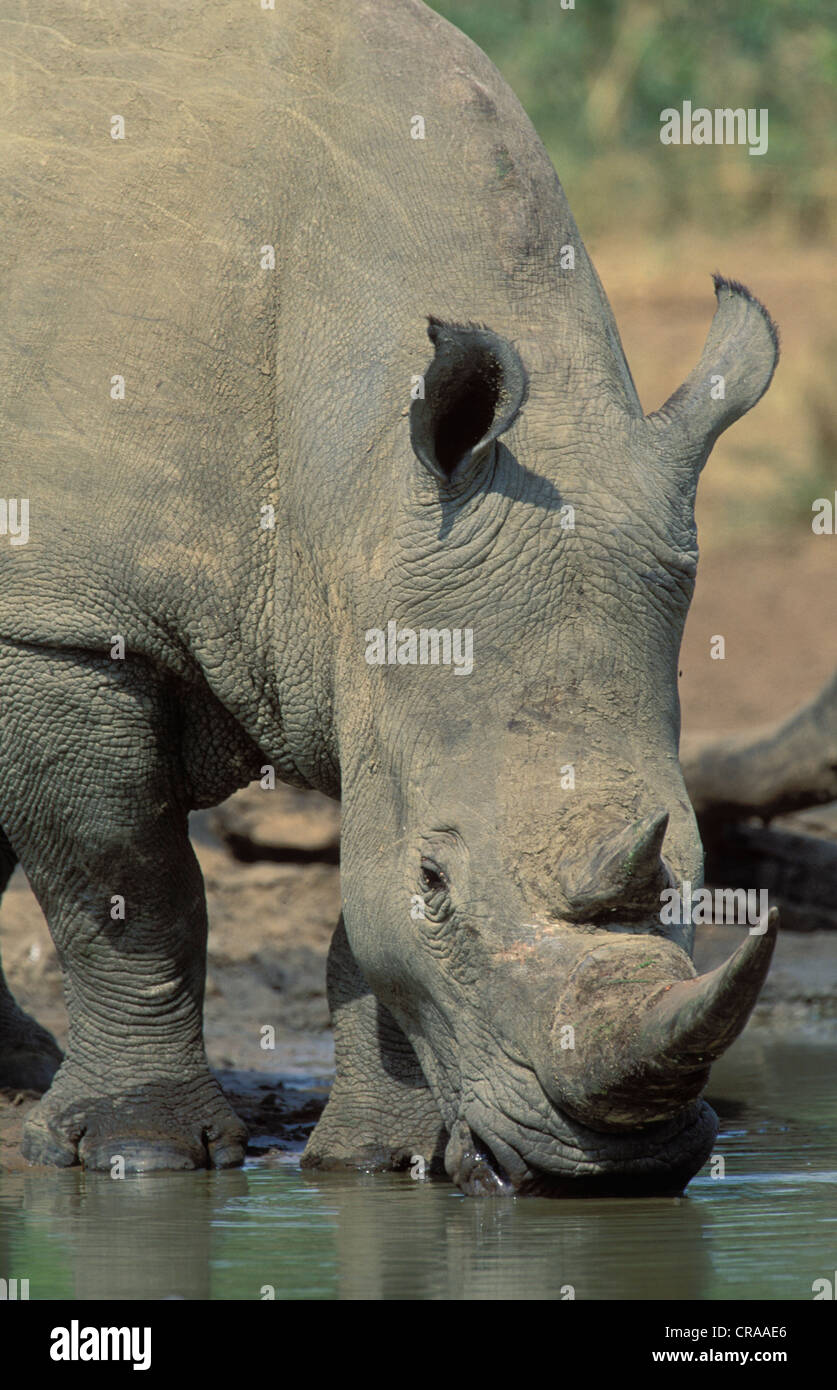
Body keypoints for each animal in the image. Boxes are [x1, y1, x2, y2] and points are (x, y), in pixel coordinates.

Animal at [0, 0, 780, 1194]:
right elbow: (128, 884)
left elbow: (358, 932)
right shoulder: (63, 619)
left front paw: (384, 1163)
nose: (612, 1166)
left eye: (696, 872)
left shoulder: (382, 621)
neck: (351, 481)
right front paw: (141, 1152)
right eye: (436, 879)